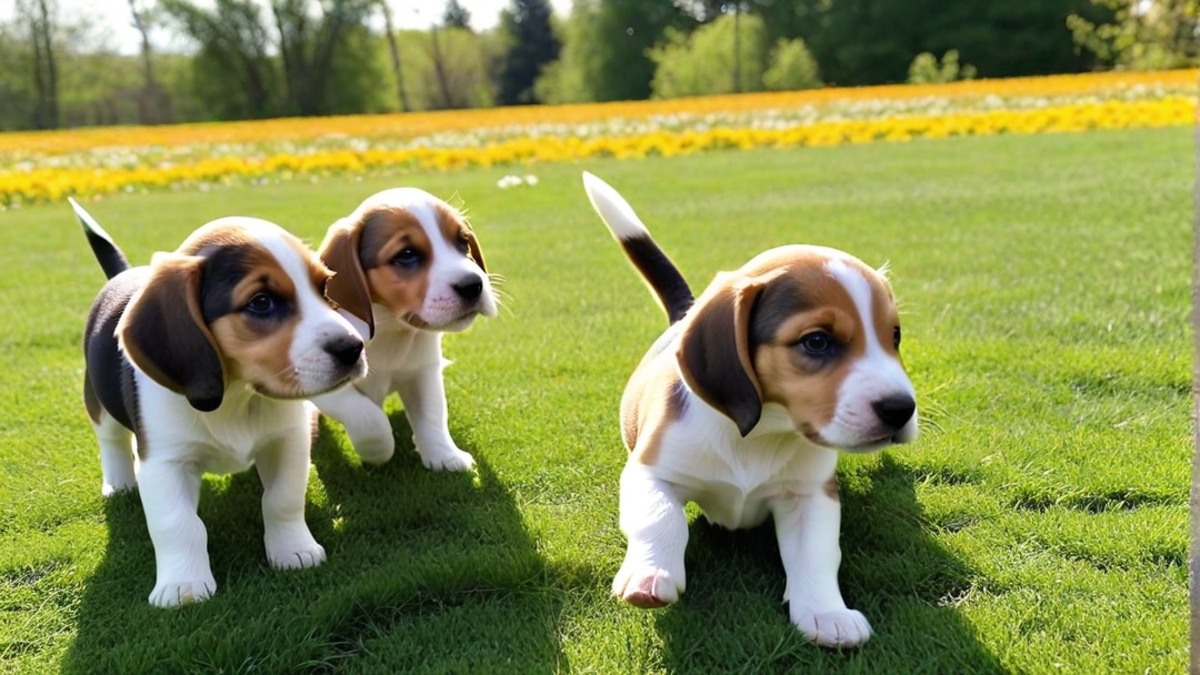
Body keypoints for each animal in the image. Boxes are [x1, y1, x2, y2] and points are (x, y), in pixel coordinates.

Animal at [75, 198, 364, 605]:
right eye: (261, 302)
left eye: (324, 286)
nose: (354, 348)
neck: (236, 395)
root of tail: (126, 275)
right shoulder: (164, 462)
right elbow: (177, 524)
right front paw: (182, 585)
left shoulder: (288, 441)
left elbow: (282, 499)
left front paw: (293, 550)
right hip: (98, 402)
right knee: (112, 441)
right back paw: (119, 483)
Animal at [312, 186, 499, 470]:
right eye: (407, 255)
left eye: (462, 242)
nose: (473, 285)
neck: (390, 329)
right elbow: (366, 415)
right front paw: (378, 450)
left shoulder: (423, 370)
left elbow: (432, 415)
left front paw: (444, 456)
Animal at [580, 171, 916, 648]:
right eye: (817, 341)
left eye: (895, 336)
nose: (902, 410)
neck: (760, 432)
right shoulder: (649, 471)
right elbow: (661, 518)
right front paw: (650, 574)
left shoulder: (811, 492)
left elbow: (816, 551)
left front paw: (827, 613)